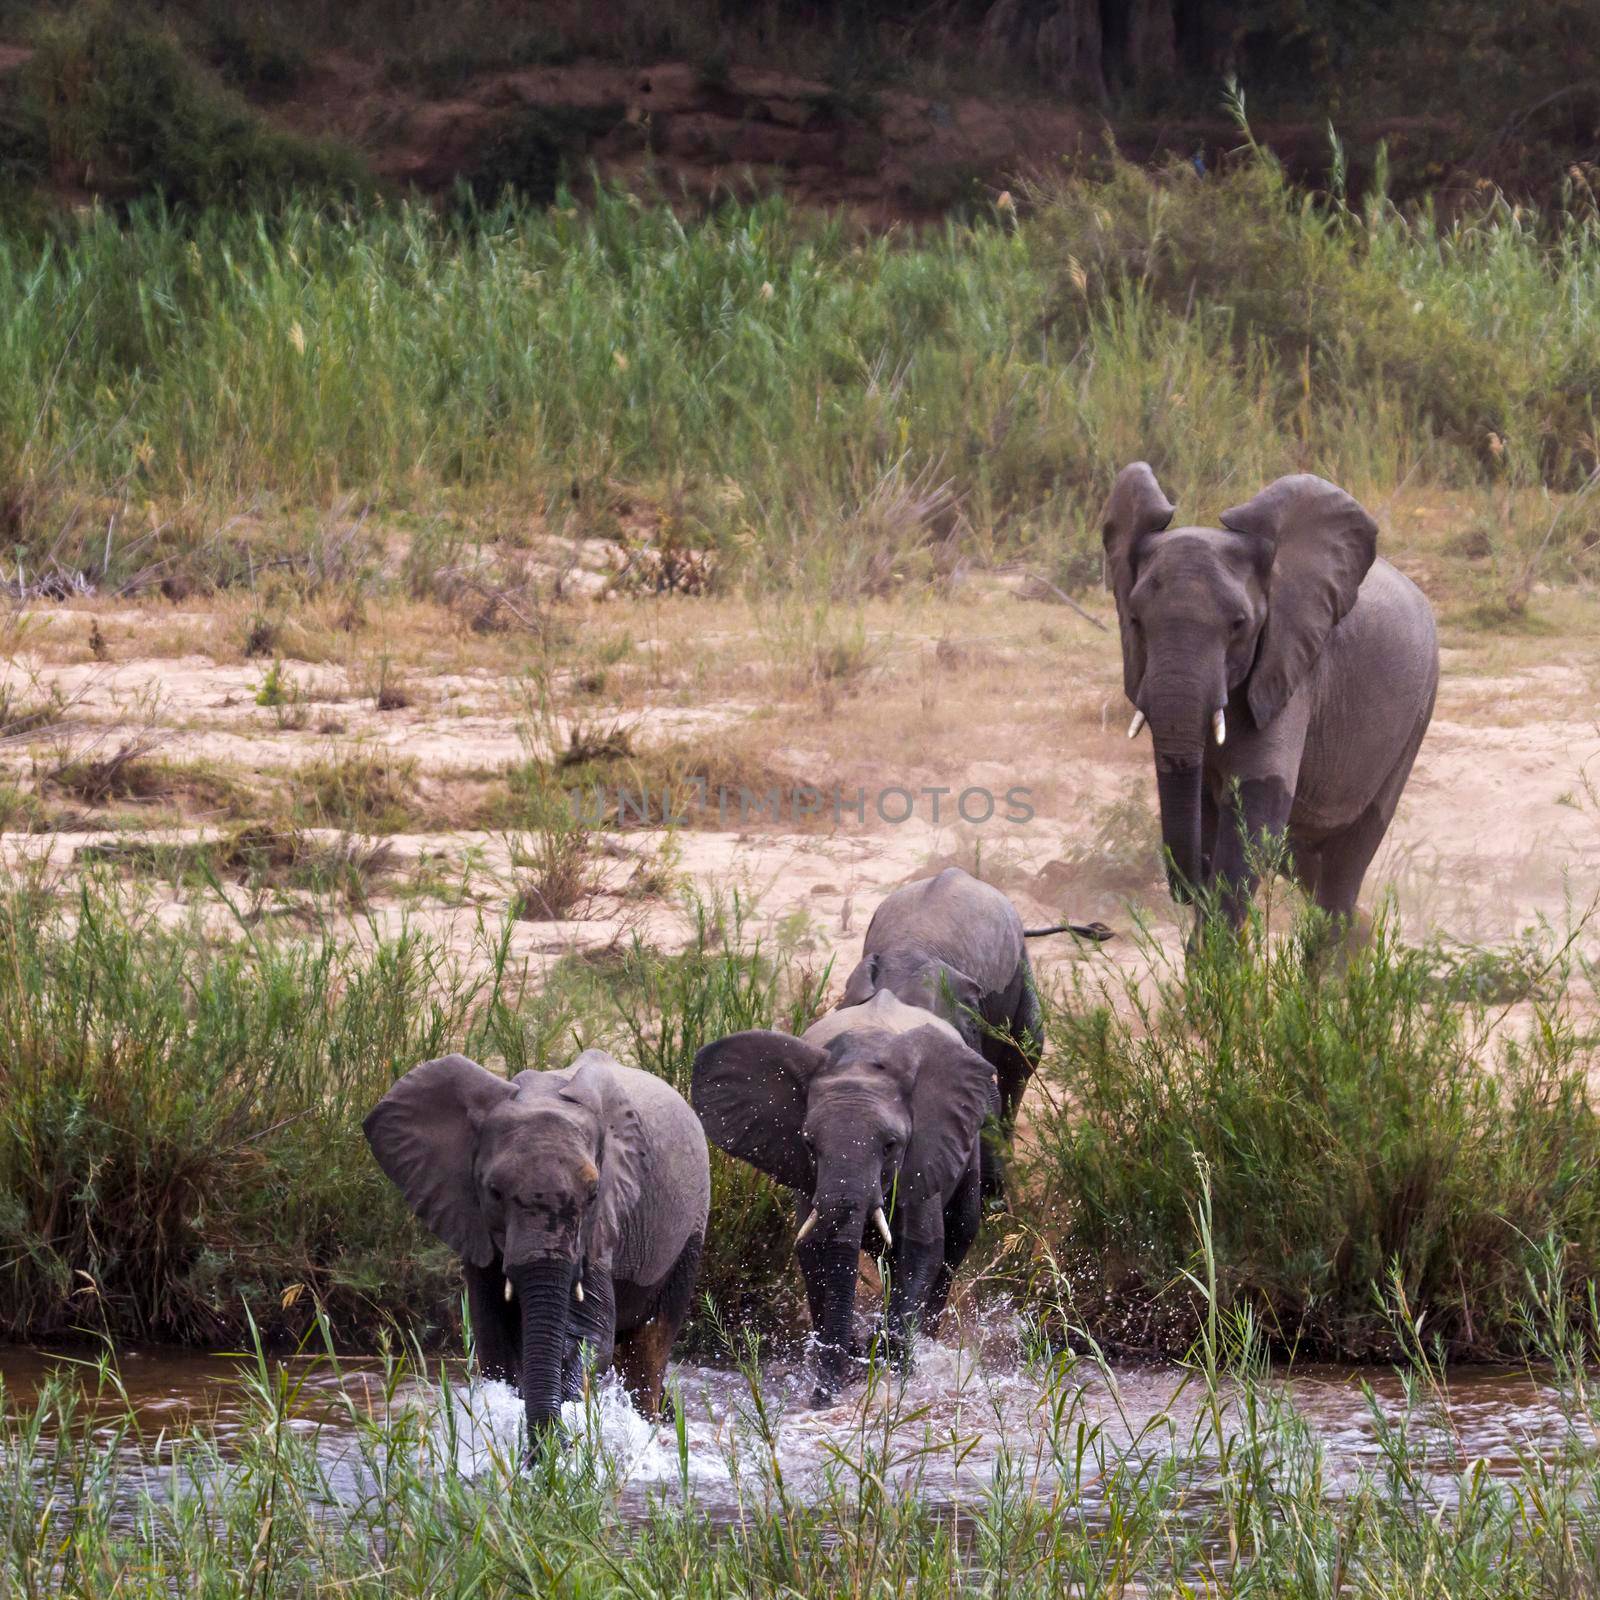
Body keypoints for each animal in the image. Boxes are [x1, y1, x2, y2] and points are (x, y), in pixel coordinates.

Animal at [368, 1049, 713, 1452]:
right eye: (494, 1192)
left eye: (593, 1194)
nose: (550, 1446)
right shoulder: (473, 1224)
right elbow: (494, 1337)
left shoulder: (602, 1221)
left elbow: (589, 1333)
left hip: (690, 1232)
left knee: (648, 1351)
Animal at [691, 992, 992, 1408]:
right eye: (808, 1144)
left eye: (890, 1145)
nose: (819, 1400)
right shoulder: (808, 1178)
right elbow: (815, 1250)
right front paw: (848, 1363)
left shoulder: (923, 1154)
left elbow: (921, 1249)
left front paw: (891, 1368)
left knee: (960, 1234)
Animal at [1100, 464, 1440, 934]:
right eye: (1134, 620)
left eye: (1239, 625)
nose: (1186, 889)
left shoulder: (1292, 667)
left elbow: (1257, 806)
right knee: (1304, 863)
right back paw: (1363, 932)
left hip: (1417, 713)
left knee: (1346, 862)